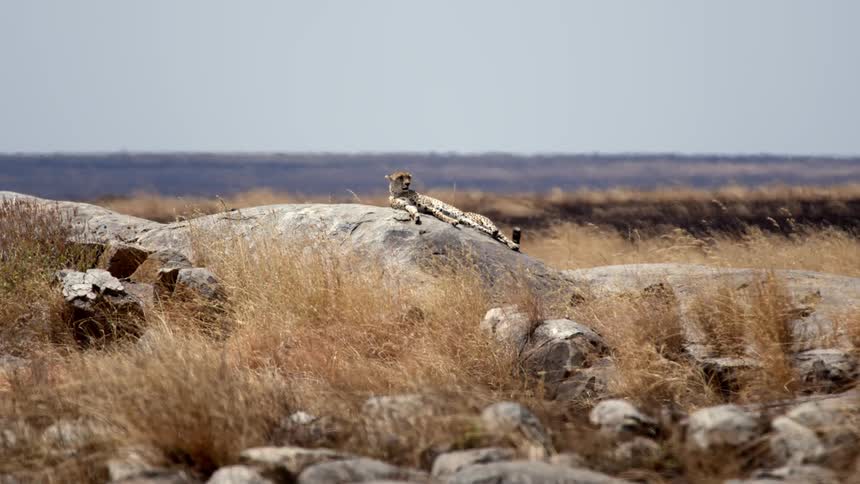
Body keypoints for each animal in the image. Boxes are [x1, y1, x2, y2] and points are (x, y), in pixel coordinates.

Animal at [385, 170, 520, 251]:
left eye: (408, 177)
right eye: (400, 177)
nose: (408, 183)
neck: (399, 193)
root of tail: (466, 214)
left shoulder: (428, 206)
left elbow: (439, 213)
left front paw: (451, 221)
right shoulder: (407, 206)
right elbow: (412, 210)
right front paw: (416, 217)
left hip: (482, 221)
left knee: (501, 234)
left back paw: (513, 244)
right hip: (468, 222)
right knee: (489, 232)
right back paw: (494, 234)